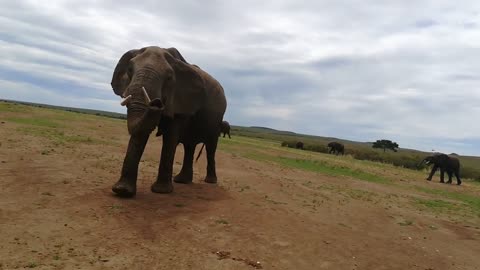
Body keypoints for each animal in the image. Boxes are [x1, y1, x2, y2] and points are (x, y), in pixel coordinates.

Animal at [110, 46, 227, 197]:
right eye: (130, 69)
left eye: (169, 77)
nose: (156, 103)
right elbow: (141, 132)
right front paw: (122, 191)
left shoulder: (180, 99)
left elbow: (170, 135)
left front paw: (161, 191)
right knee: (189, 146)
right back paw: (182, 181)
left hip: (218, 119)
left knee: (210, 147)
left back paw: (210, 181)